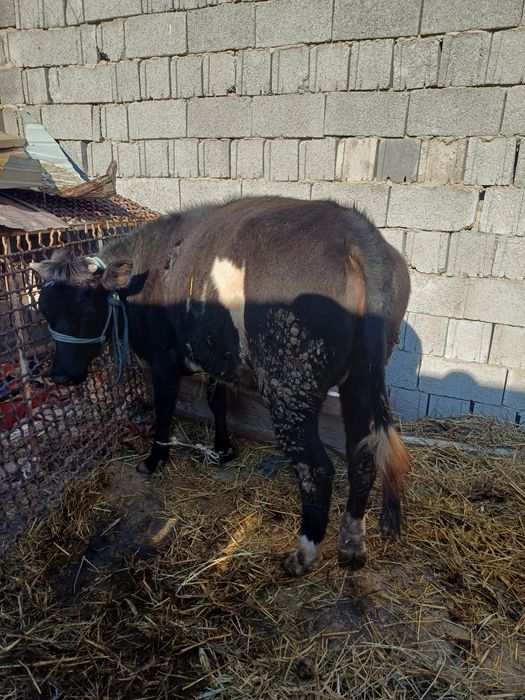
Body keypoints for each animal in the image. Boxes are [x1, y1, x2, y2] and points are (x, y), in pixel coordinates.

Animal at [32, 196, 410, 576]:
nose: (60, 375)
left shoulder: (162, 358)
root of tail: (355, 230)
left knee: (317, 469)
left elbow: (164, 410)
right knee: (362, 455)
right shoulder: (214, 356)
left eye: (85, 312)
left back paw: (302, 556)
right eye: (45, 312)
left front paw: (154, 460)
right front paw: (222, 450)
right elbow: (217, 402)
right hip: (360, 378)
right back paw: (351, 545)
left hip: (291, 384)